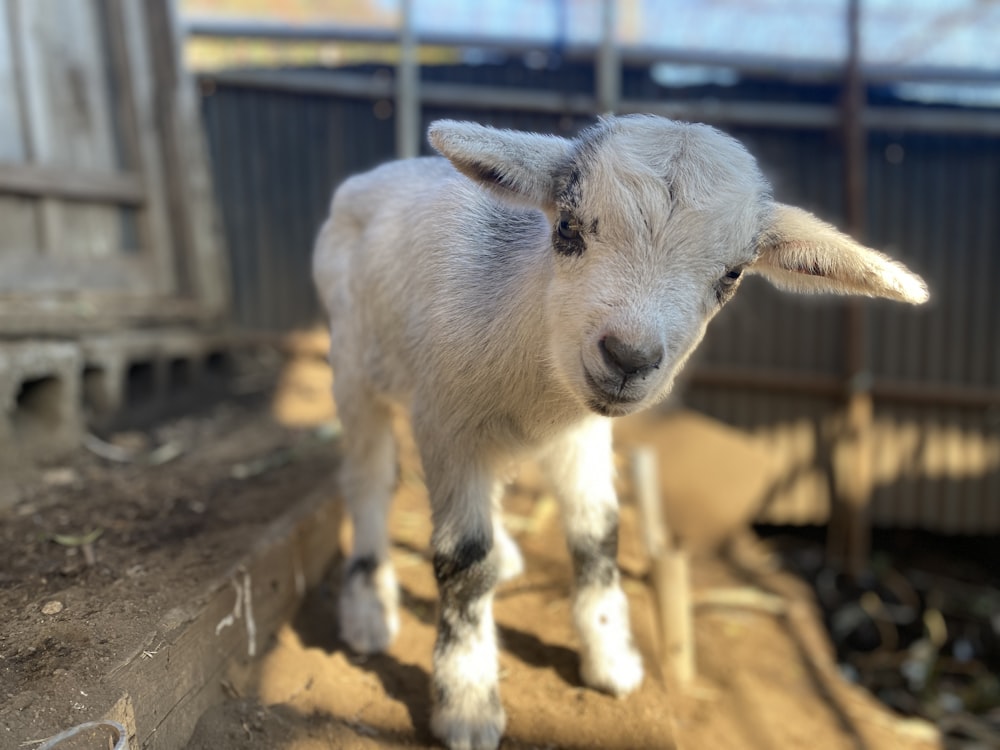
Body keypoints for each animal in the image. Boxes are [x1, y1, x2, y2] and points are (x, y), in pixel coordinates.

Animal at [314, 114, 928, 748]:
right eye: (567, 227)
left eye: (732, 274)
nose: (628, 358)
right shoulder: (448, 424)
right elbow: (463, 558)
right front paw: (468, 704)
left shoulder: (580, 435)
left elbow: (599, 534)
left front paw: (612, 659)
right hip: (354, 365)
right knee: (368, 480)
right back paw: (367, 607)